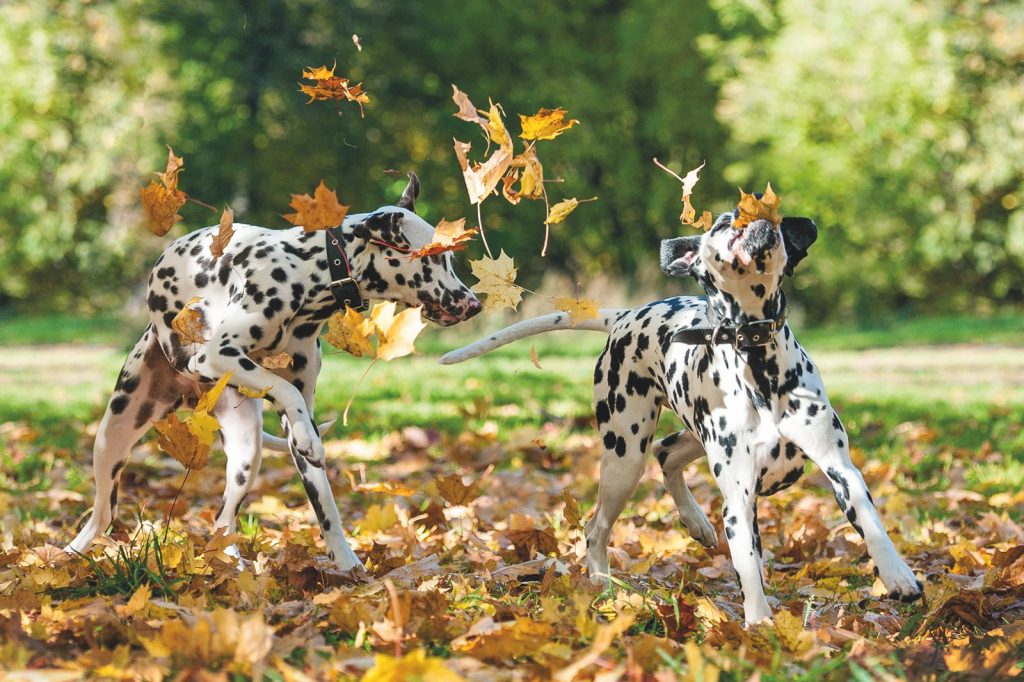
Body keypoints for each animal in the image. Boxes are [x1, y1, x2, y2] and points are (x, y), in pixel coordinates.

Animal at [70, 173, 481, 565]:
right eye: (432, 259)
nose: (474, 304)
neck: (309, 273)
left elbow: (324, 500)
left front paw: (347, 563)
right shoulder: (217, 355)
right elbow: (287, 390)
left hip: (246, 452)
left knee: (223, 520)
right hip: (112, 436)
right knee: (103, 514)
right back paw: (68, 557)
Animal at [444, 205, 925, 622]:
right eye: (725, 222)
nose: (753, 215)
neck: (758, 360)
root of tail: (626, 314)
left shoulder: (840, 468)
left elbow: (871, 523)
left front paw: (897, 576)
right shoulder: (739, 499)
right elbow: (748, 566)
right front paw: (759, 624)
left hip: (690, 435)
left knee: (666, 454)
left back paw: (694, 523)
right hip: (625, 455)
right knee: (599, 526)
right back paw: (603, 587)